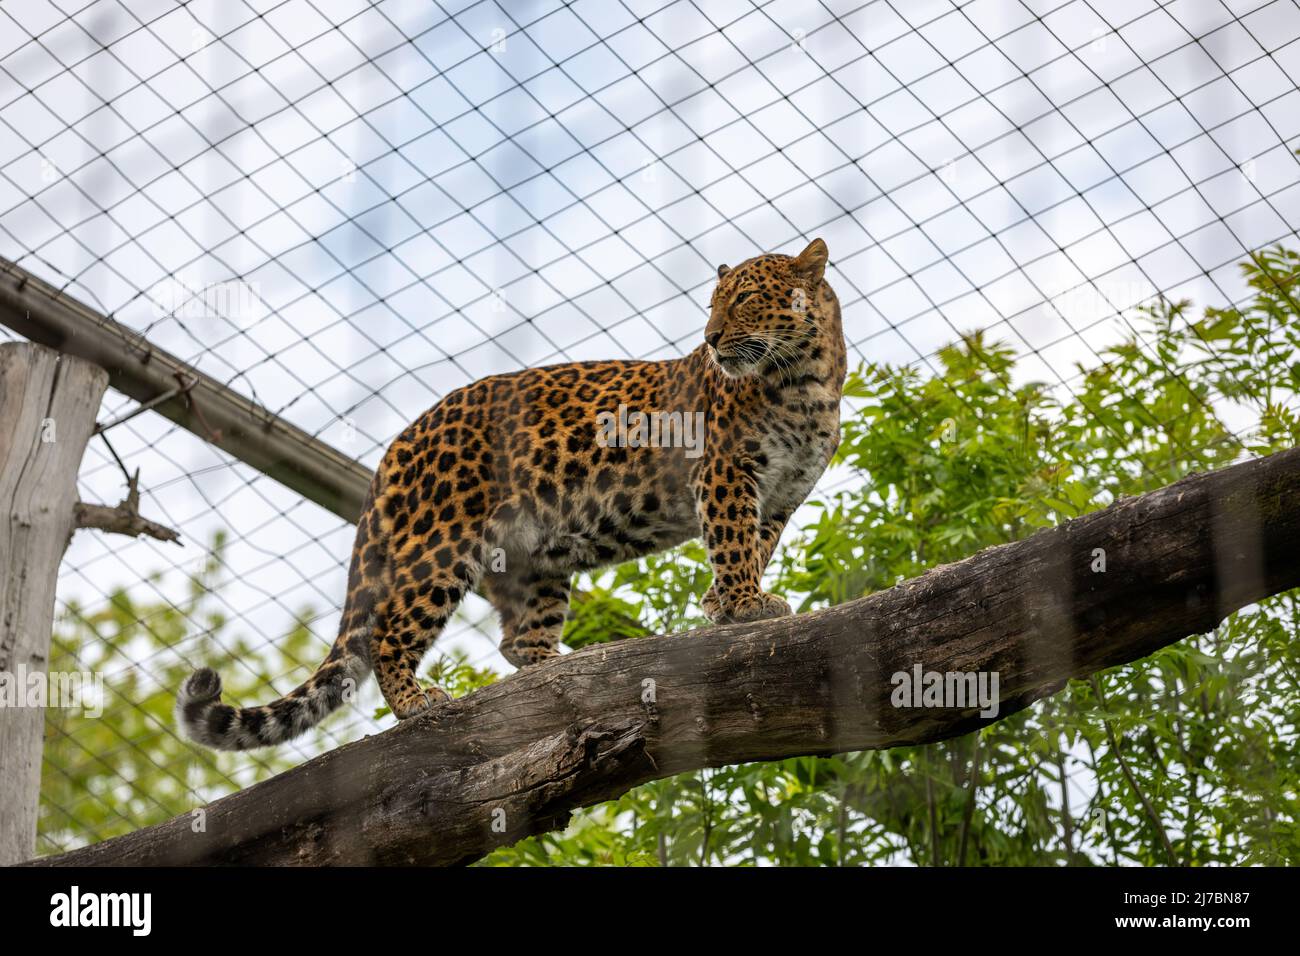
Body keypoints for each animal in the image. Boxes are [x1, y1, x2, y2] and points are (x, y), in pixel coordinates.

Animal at [178, 238, 847, 749]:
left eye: (746, 300)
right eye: (712, 304)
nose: (710, 339)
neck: (807, 381)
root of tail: (397, 445)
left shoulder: (780, 496)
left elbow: (753, 545)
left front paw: (722, 605)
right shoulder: (726, 473)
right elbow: (734, 543)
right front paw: (745, 606)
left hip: (534, 558)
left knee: (516, 641)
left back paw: (563, 666)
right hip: (441, 542)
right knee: (389, 630)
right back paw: (417, 702)